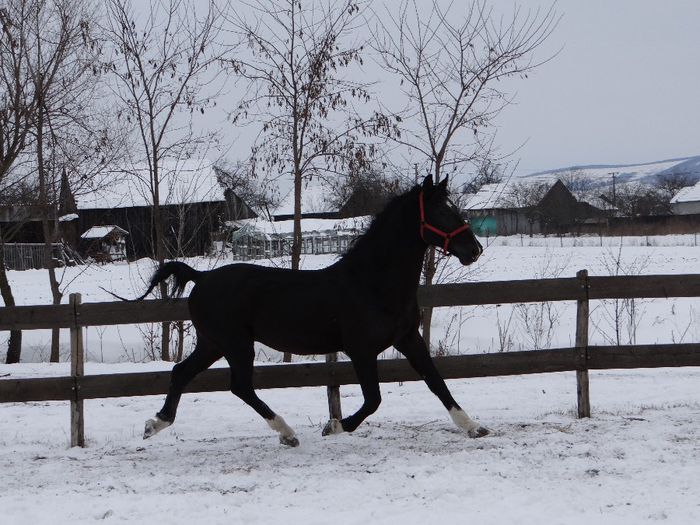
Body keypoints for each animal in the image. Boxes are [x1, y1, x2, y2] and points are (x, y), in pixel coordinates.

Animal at [135, 174, 486, 444]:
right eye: (440, 211)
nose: (475, 249)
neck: (372, 283)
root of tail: (202, 277)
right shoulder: (361, 349)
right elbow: (373, 399)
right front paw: (335, 426)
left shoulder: (409, 339)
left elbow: (437, 382)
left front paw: (473, 427)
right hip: (235, 344)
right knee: (240, 386)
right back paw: (287, 432)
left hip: (213, 343)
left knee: (182, 373)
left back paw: (155, 423)